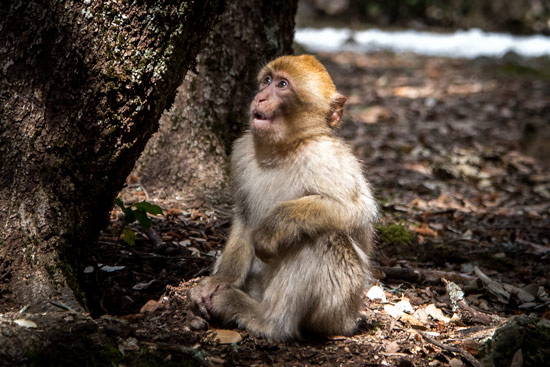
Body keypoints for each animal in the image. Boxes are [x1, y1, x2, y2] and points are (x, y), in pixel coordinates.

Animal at [190, 54, 380, 342]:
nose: (260, 97)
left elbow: (355, 209)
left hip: (338, 308)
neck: (281, 150)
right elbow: (244, 218)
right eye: (267, 80)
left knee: (323, 238)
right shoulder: (242, 151)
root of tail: (350, 318)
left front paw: (272, 228)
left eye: (282, 85)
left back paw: (268, 321)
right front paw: (220, 280)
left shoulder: (325, 157)